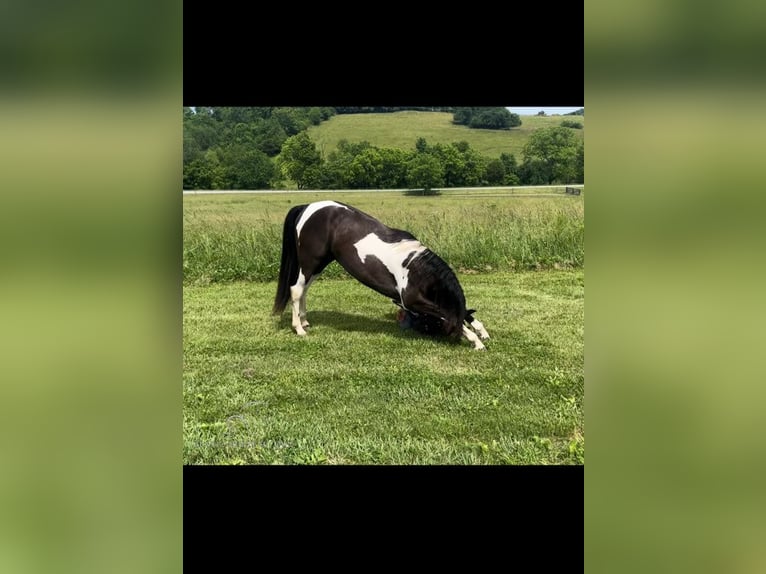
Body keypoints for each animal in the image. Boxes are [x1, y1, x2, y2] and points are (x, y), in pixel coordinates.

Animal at [276, 200, 492, 354]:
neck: (415, 267)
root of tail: (307, 207)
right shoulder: (412, 301)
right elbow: (447, 313)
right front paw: (476, 341)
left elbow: (461, 314)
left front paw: (481, 332)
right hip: (310, 262)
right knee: (296, 290)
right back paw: (299, 329)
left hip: (319, 264)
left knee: (304, 290)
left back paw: (304, 321)